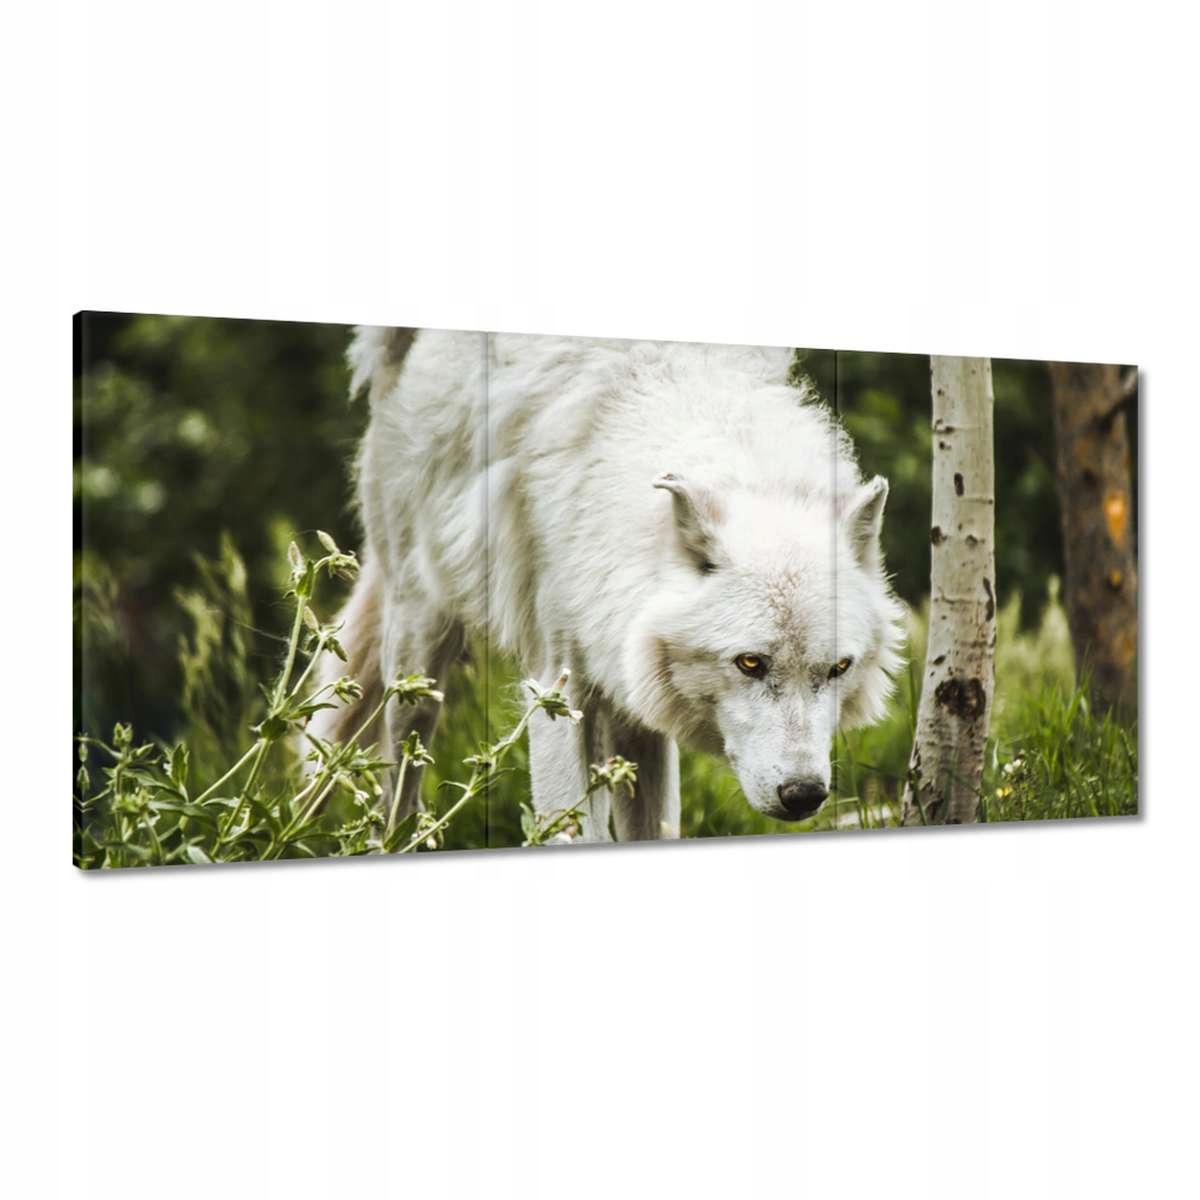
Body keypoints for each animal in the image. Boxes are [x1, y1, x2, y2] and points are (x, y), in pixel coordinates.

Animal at [312, 328, 904, 841]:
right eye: (750, 663)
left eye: (839, 668)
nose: (805, 795)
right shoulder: (555, 693)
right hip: (419, 655)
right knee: (395, 783)